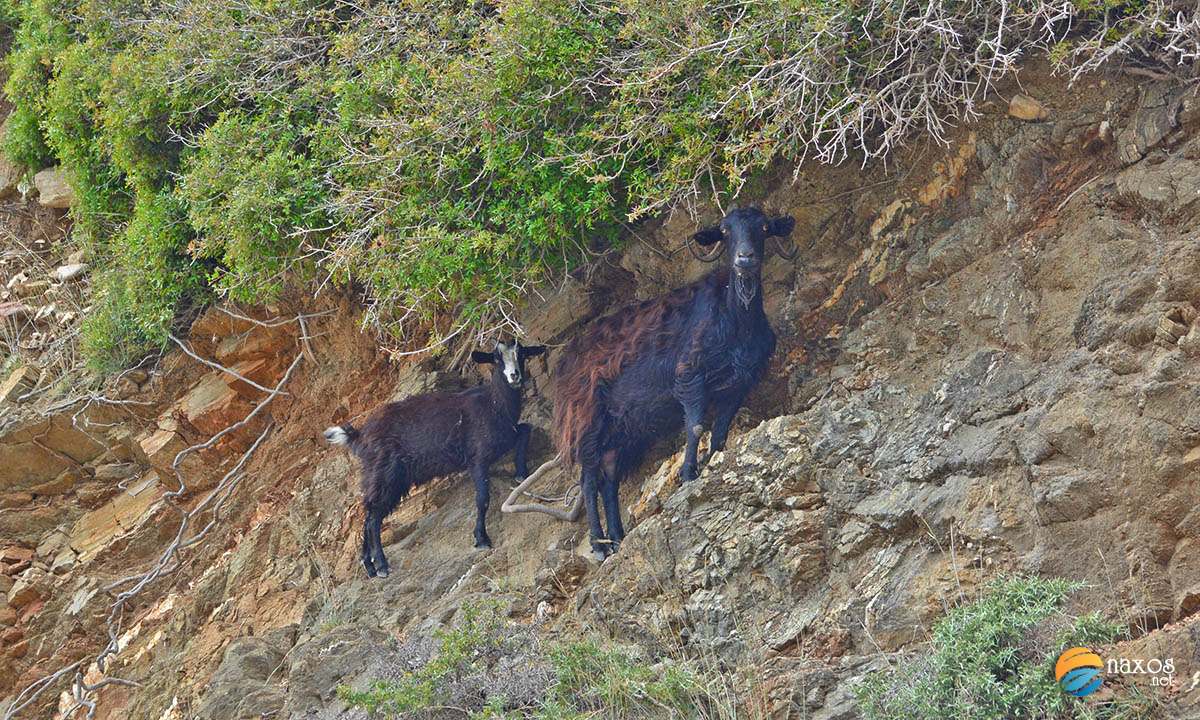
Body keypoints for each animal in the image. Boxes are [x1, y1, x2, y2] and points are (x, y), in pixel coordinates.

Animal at [321, 340, 542, 576]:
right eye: (497, 358)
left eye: (522, 354)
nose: (514, 376)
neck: (493, 404)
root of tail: (359, 435)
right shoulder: (477, 458)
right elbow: (482, 499)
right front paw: (481, 538)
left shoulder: (507, 436)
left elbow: (526, 429)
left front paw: (521, 473)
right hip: (386, 474)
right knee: (373, 517)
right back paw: (381, 565)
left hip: (379, 477)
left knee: (368, 511)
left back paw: (369, 565)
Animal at [552, 206, 796, 556]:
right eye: (725, 230)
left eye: (763, 228)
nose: (745, 258)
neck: (736, 318)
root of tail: (564, 363)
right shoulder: (690, 375)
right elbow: (695, 425)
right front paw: (688, 473)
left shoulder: (737, 385)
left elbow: (720, 432)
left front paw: (711, 462)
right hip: (587, 422)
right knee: (588, 479)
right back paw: (599, 545)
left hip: (621, 429)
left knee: (608, 478)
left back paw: (618, 537)